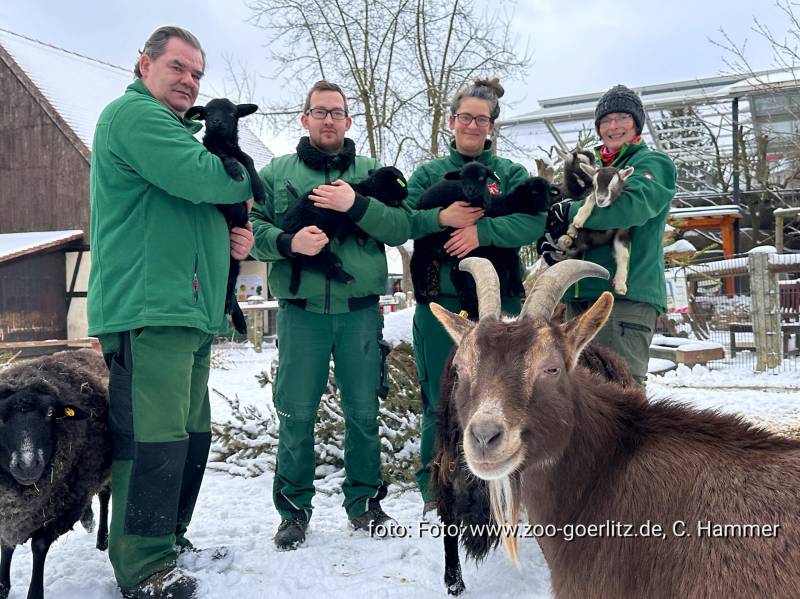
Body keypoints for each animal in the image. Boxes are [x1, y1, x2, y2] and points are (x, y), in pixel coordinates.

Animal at [0, 350, 112, 599]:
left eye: (50, 413)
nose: (27, 465)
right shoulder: (9, 513)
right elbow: (6, 543)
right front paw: (2, 587)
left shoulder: (62, 509)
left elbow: (39, 545)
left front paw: (34, 592)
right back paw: (88, 519)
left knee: (104, 496)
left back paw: (102, 539)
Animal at [184, 96, 266, 336]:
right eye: (208, 113)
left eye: (231, 114)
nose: (217, 122)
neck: (222, 141)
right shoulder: (211, 151)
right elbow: (224, 157)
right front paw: (234, 169)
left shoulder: (238, 151)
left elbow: (247, 158)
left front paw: (260, 191)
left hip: (234, 259)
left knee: (230, 284)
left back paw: (236, 317)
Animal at [280, 166, 406, 296]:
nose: (405, 195)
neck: (368, 189)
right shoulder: (344, 217)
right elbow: (350, 227)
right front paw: (347, 239)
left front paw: (358, 239)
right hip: (318, 233)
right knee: (315, 261)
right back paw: (346, 276)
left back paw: (335, 260)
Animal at [410, 162, 560, 316]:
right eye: (534, 192)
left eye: (548, 191)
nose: (547, 205)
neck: (509, 205)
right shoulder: (499, 248)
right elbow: (511, 263)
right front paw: (517, 288)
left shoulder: (504, 248)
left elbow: (509, 264)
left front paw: (513, 288)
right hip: (430, 242)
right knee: (420, 264)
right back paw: (423, 294)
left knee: (436, 265)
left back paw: (433, 289)